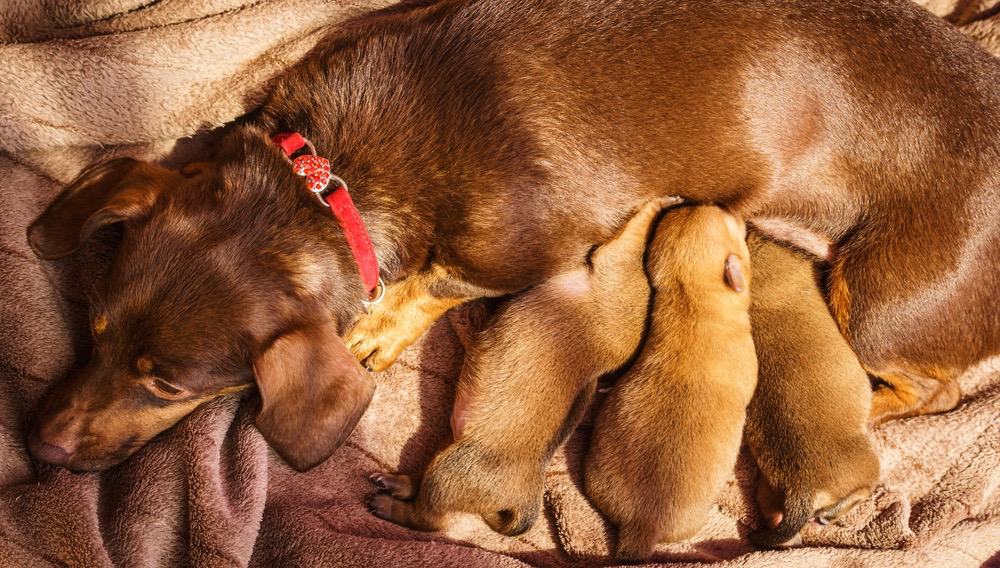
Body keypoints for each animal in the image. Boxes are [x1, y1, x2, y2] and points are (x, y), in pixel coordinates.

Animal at [27, 0, 996, 470]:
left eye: (167, 385)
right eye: (95, 332)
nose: (39, 448)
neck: (332, 179)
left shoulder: (524, 252)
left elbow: (440, 281)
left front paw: (384, 326)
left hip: (879, 300)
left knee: (938, 388)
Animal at [364, 197, 676, 536]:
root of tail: (524, 500)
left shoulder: (615, 262)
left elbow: (635, 230)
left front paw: (660, 203)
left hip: (450, 472)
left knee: (428, 518)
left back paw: (386, 504)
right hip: (444, 455)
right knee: (419, 488)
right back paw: (393, 482)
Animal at [748, 233, 880, 548]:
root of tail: (801, 491)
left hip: (769, 493)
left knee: (774, 519)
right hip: (866, 464)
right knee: (861, 489)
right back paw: (832, 514)